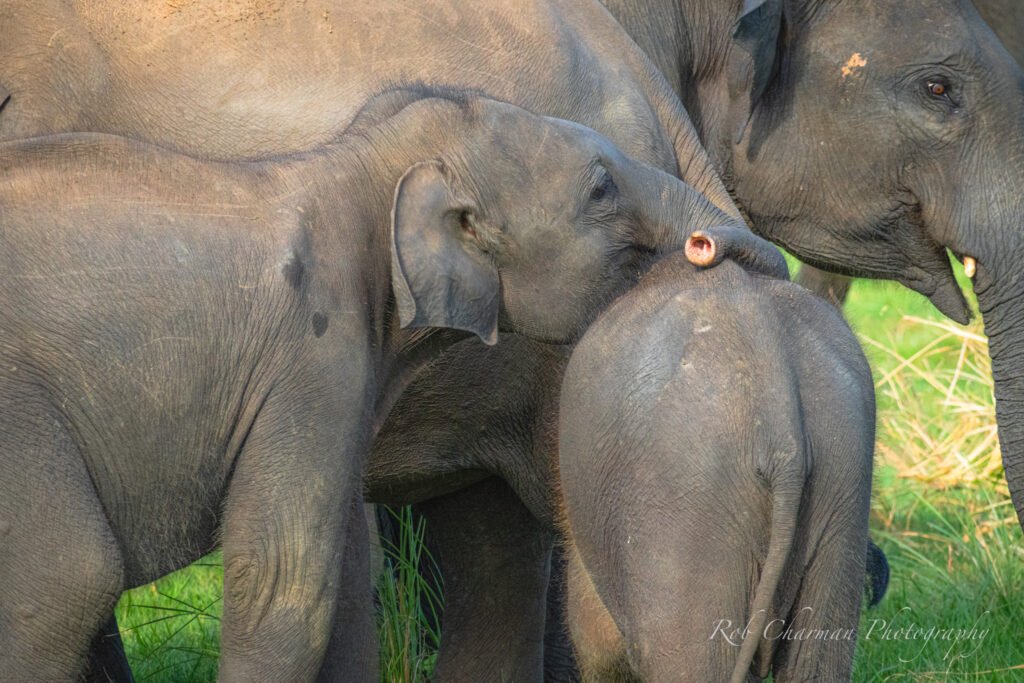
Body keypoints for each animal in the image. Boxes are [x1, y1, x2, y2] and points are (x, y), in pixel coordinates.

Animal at [0, 93, 761, 679]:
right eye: (601, 189)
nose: (704, 248)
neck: (356, 161)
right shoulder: (313, 357)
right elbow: (284, 582)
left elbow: (338, 576)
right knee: (69, 581)